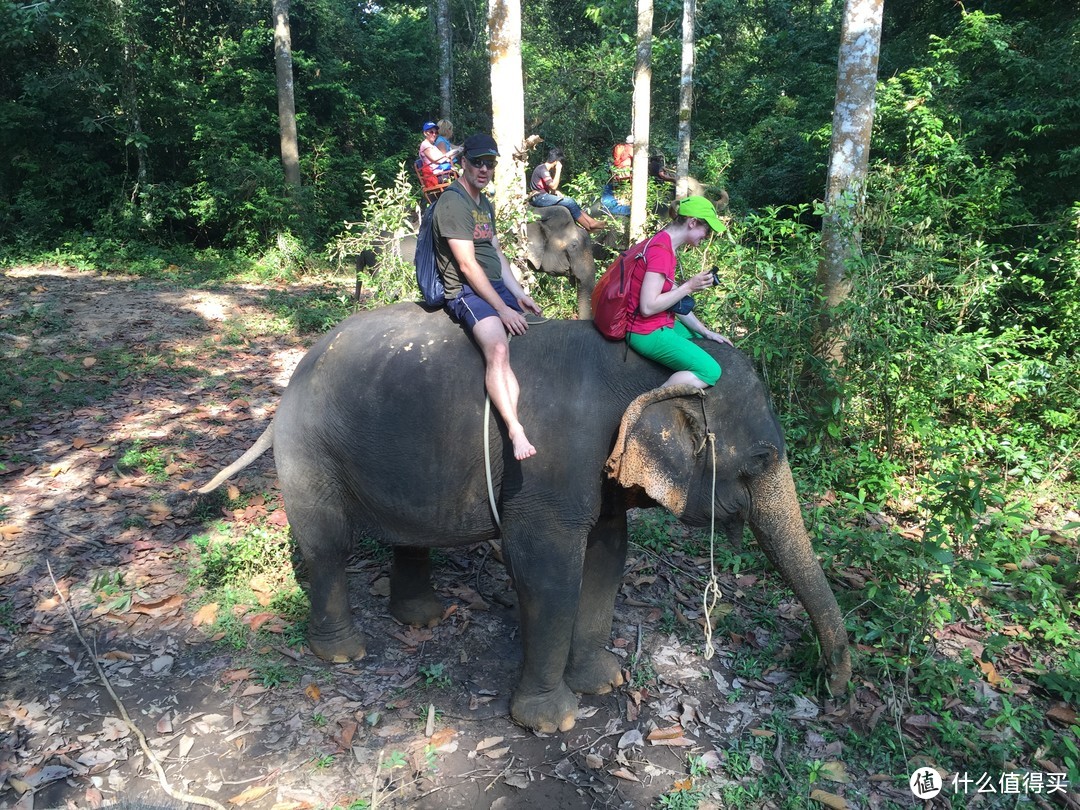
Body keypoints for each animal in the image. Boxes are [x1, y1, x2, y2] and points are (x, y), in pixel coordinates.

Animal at [196, 302, 851, 734]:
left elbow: (608, 555)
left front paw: (604, 682)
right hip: (310, 448)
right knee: (327, 543)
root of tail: (292, 381)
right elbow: (547, 569)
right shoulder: (542, 464)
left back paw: (424, 618)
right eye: (760, 461)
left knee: (406, 533)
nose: (833, 692)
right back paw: (343, 654)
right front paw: (552, 721)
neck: (638, 366)